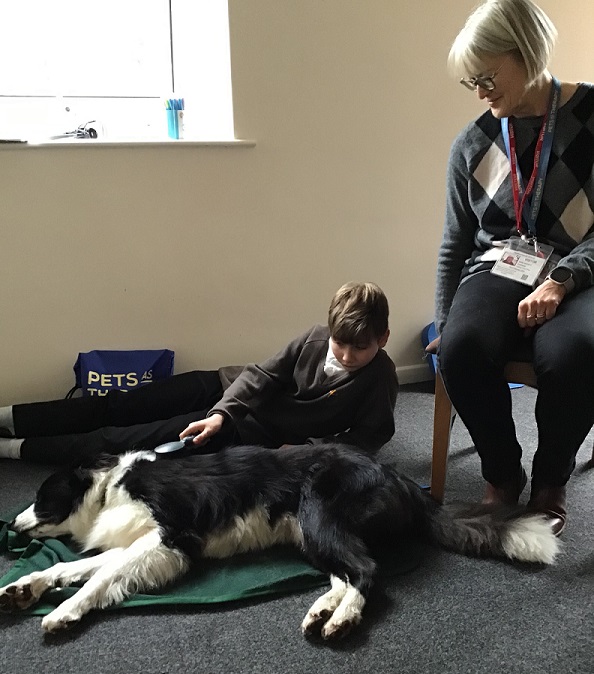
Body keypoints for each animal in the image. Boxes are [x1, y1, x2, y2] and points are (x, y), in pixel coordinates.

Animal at [0, 440, 556, 636]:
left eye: (42, 496)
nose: (12, 526)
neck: (106, 488)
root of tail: (399, 478)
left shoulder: (169, 538)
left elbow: (99, 580)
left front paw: (63, 612)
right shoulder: (132, 542)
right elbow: (70, 567)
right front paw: (23, 588)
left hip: (319, 514)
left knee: (368, 572)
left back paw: (344, 620)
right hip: (311, 533)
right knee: (347, 572)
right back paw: (323, 610)